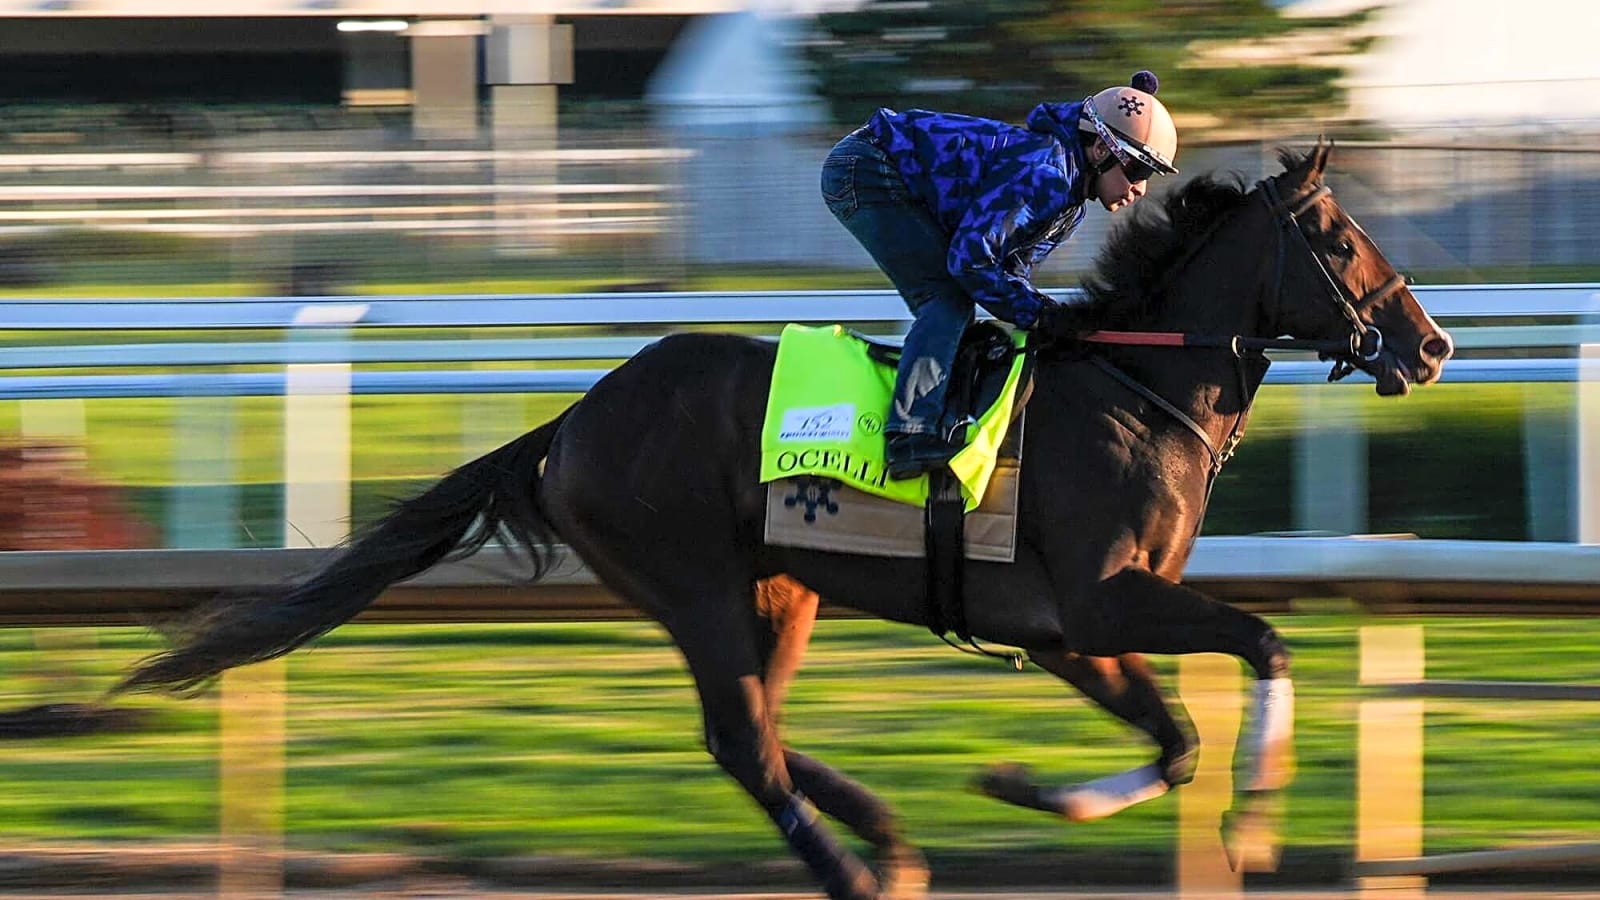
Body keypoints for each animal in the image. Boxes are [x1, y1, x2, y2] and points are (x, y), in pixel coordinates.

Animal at [116, 142, 1452, 900]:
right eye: (1336, 238)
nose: (1431, 346)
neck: (1134, 386)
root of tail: (571, 419)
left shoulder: (1065, 630)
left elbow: (1170, 738)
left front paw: (1031, 788)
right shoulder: (1101, 599)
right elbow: (1261, 645)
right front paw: (1255, 818)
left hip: (782, 585)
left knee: (747, 726)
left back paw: (886, 838)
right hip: (697, 582)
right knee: (744, 740)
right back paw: (860, 871)